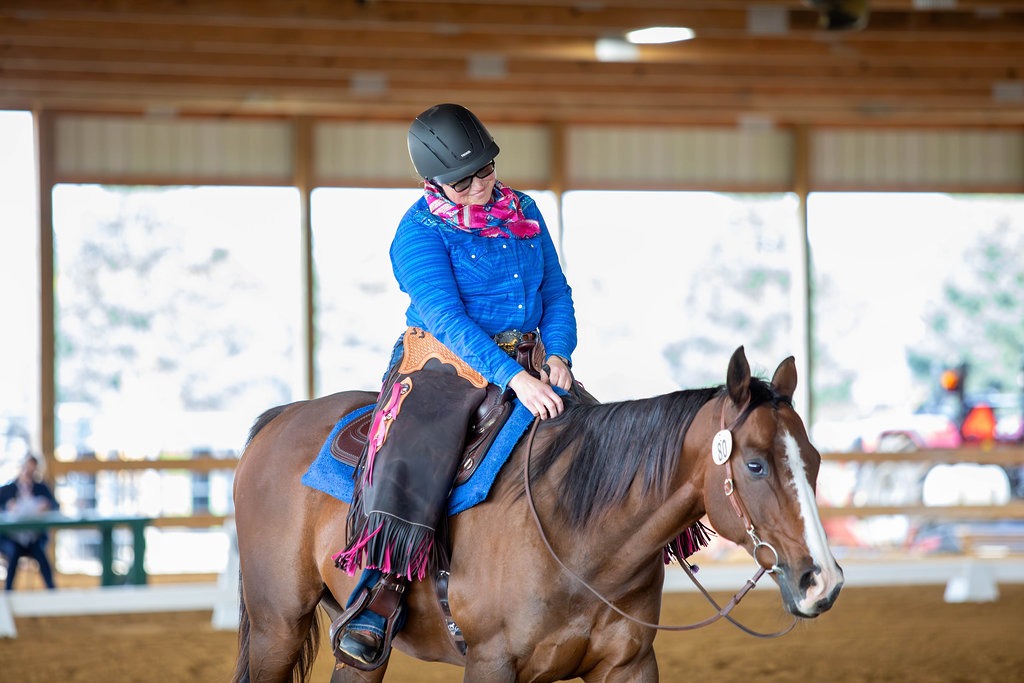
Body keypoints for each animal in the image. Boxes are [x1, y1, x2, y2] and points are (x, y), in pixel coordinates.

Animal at [231, 346, 844, 682]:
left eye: (813, 460)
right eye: (756, 464)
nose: (822, 582)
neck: (581, 539)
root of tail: (282, 418)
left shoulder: (630, 666)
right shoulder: (491, 665)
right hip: (277, 626)